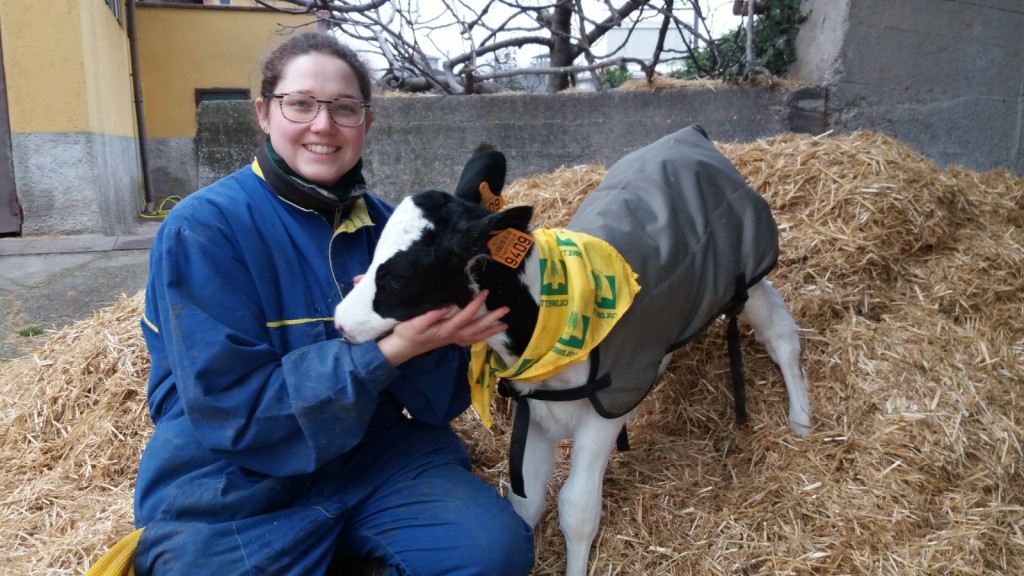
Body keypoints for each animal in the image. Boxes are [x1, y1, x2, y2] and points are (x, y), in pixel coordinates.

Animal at [339, 125, 811, 573]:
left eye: (398, 277)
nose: (340, 322)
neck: (547, 323)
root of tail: (690, 135)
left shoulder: (601, 417)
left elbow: (578, 509)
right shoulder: (535, 413)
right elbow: (525, 501)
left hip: (746, 276)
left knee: (780, 333)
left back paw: (801, 419)